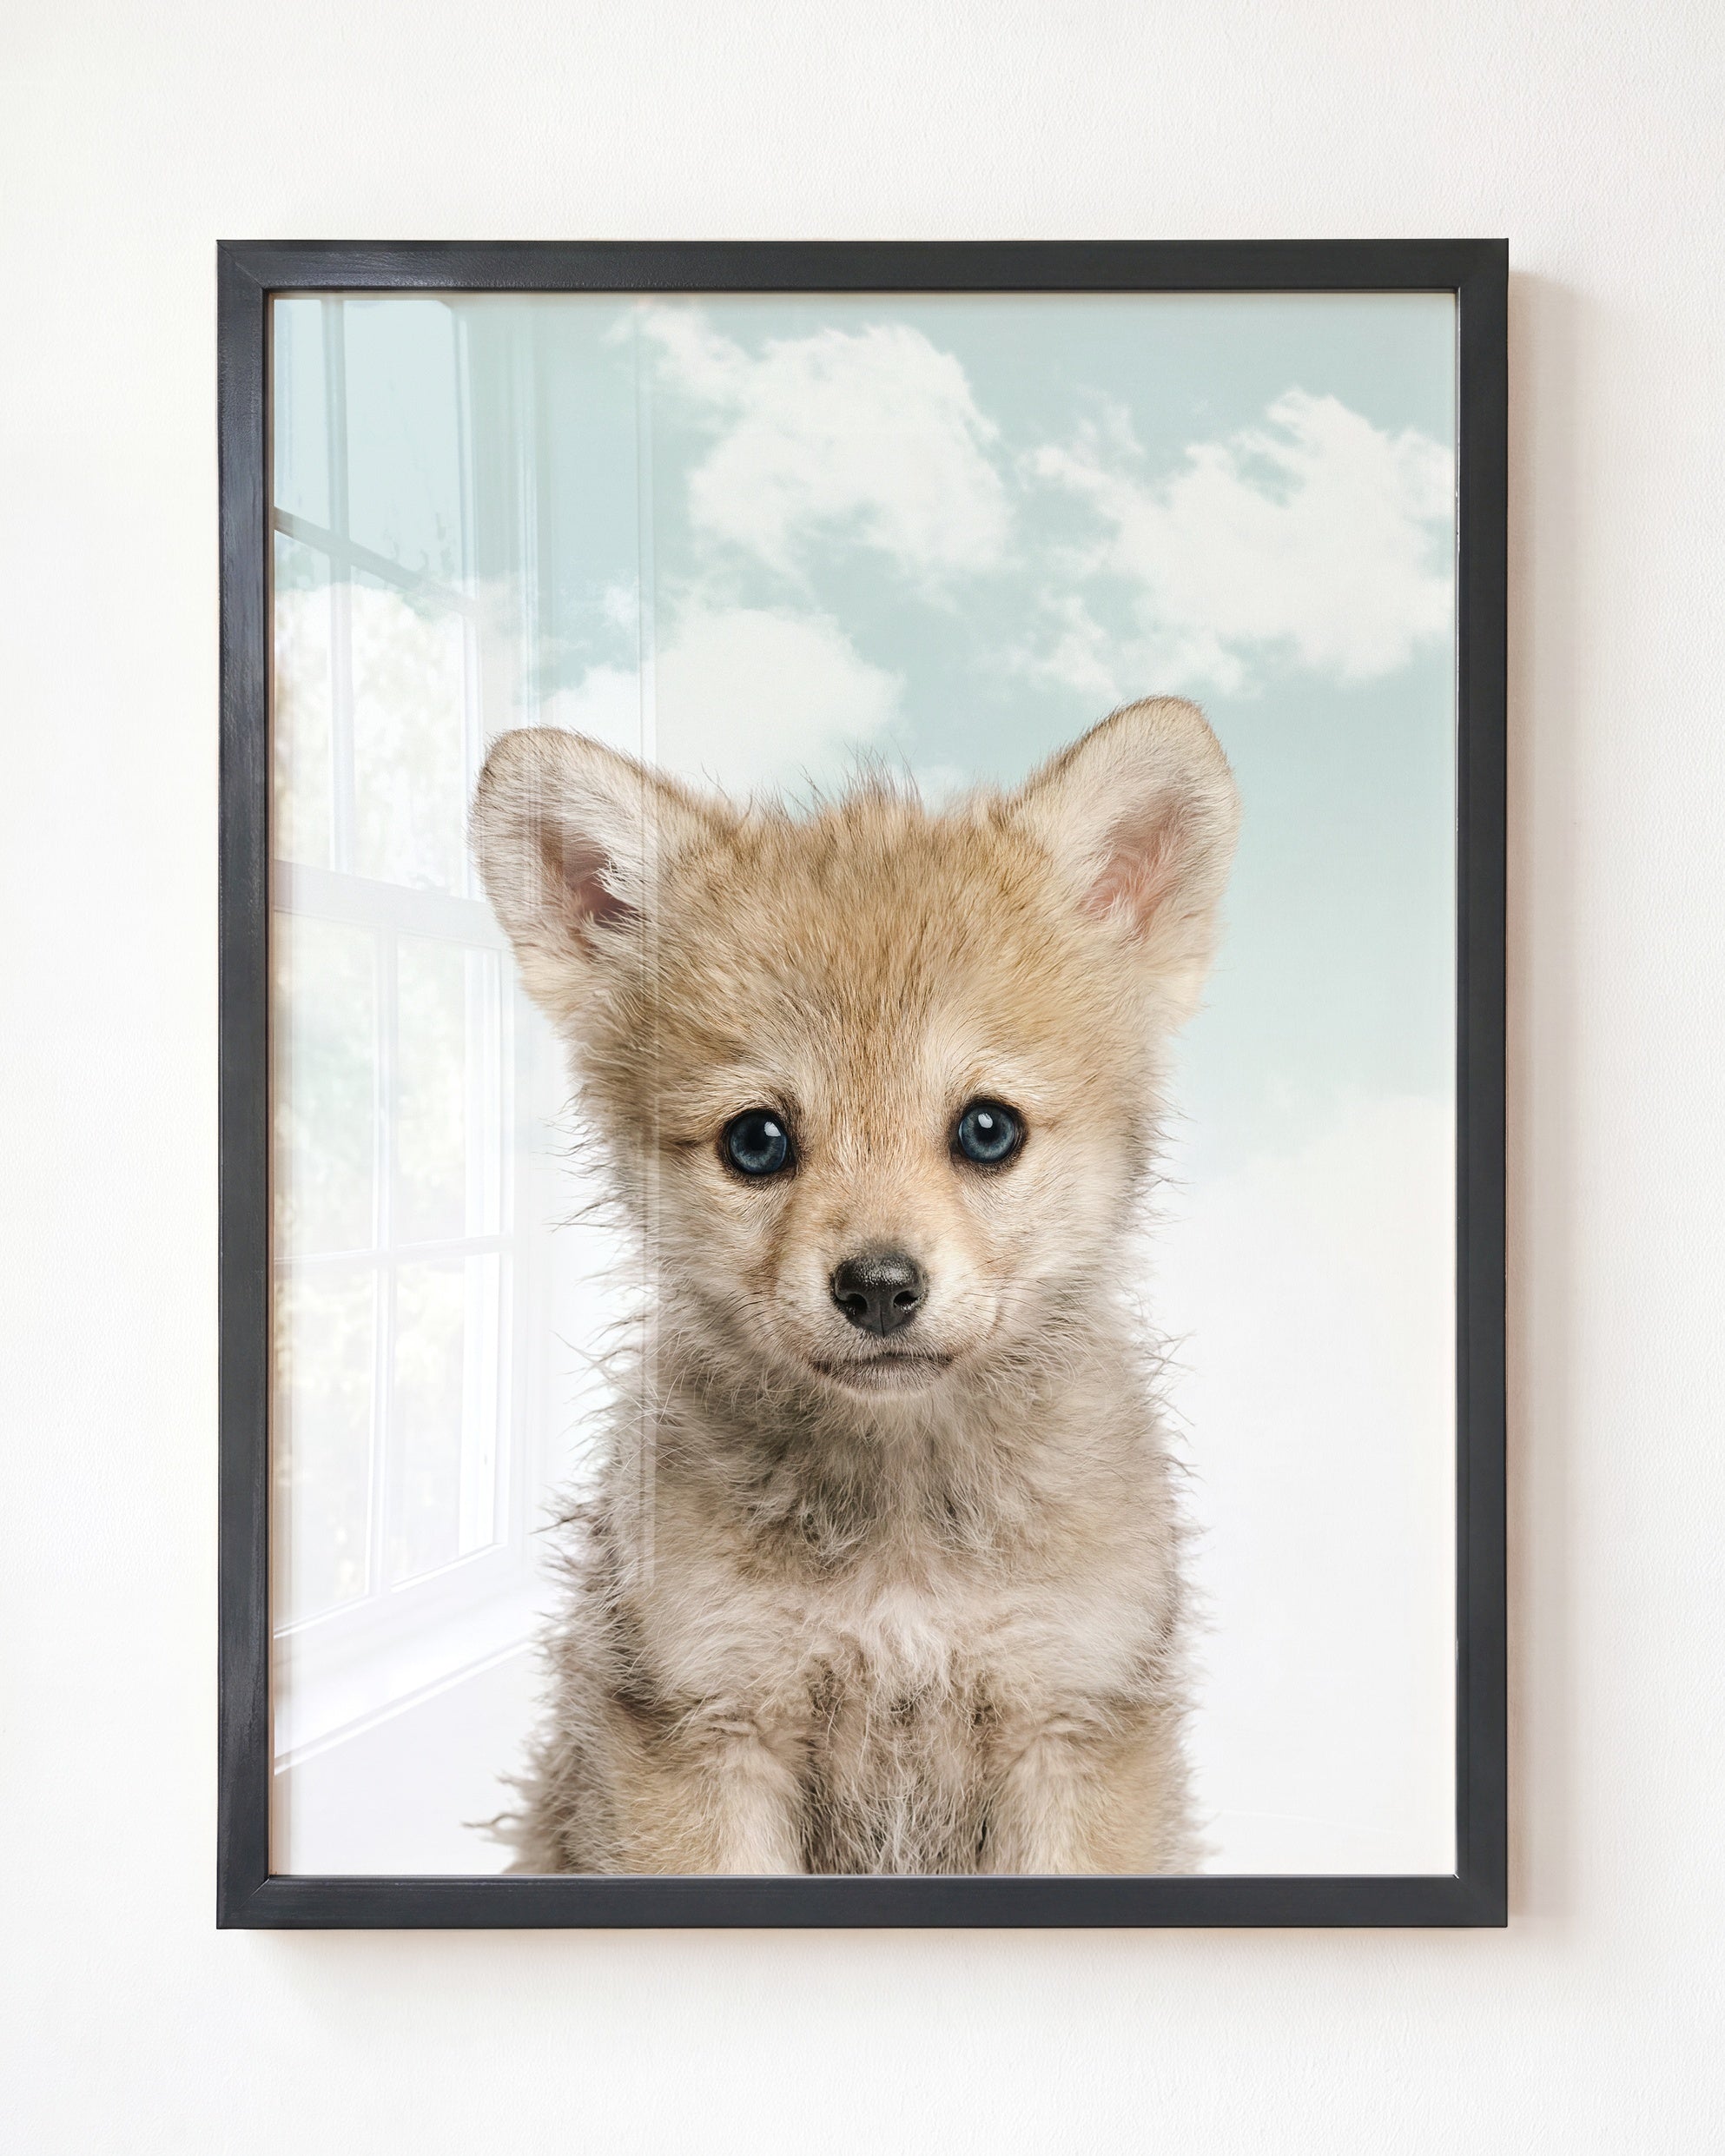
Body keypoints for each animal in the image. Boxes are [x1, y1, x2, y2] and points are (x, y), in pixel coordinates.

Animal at [470, 696, 1239, 1874]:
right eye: (756, 1141)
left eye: (988, 1129)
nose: (879, 1287)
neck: (902, 1538)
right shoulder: (708, 1726)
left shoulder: (1071, 1721)